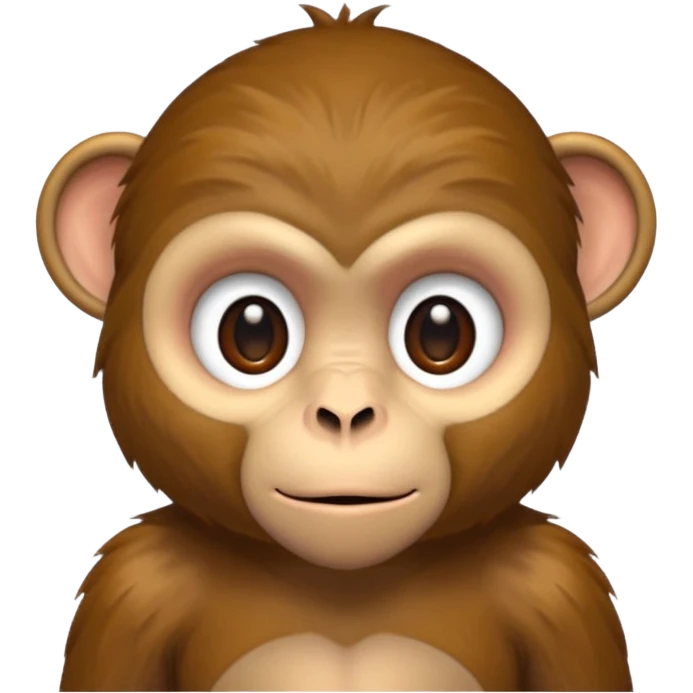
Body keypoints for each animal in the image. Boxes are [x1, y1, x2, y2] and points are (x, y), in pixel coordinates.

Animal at [37, 3, 656, 691]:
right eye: (251, 331)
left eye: (441, 331)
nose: (345, 413)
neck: (345, 586)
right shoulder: (136, 586)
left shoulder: (555, 585)